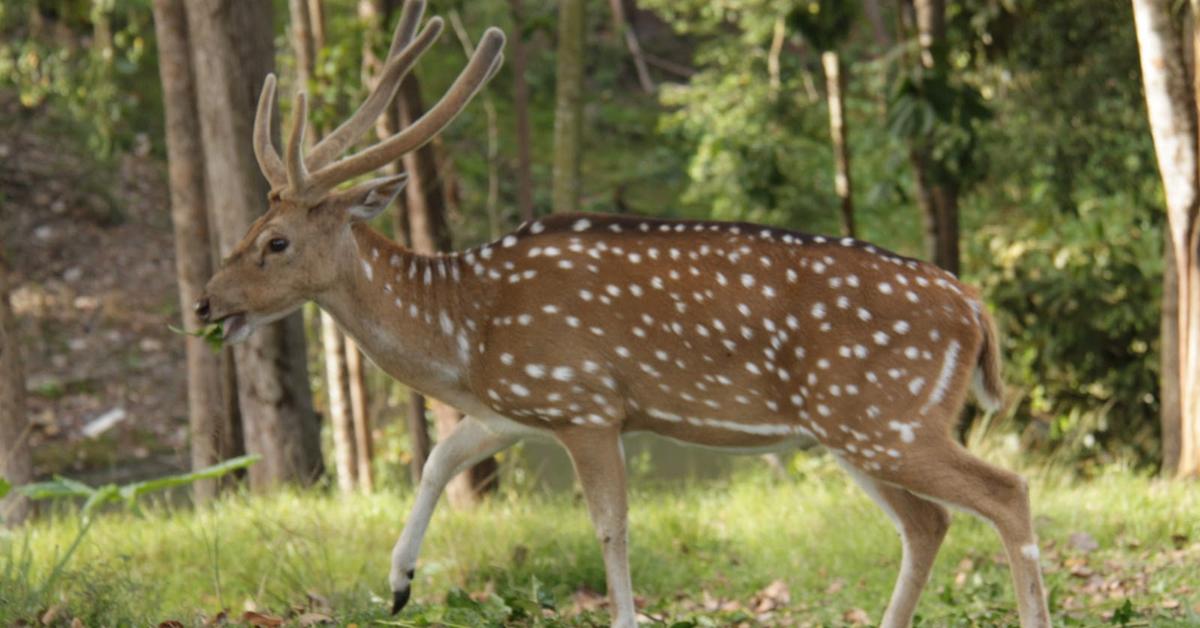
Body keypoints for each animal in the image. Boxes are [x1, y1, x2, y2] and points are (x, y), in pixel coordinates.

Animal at [194, 2, 1051, 624]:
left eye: (273, 241)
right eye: (249, 229)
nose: (204, 301)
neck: (465, 332)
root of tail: (975, 310)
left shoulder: (583, 400)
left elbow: (610, 528)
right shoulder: (517, 403)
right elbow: (440, 456)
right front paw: (399, 583)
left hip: (883, 415)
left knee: (1006, 492)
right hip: (853, 430)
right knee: (927, 523)